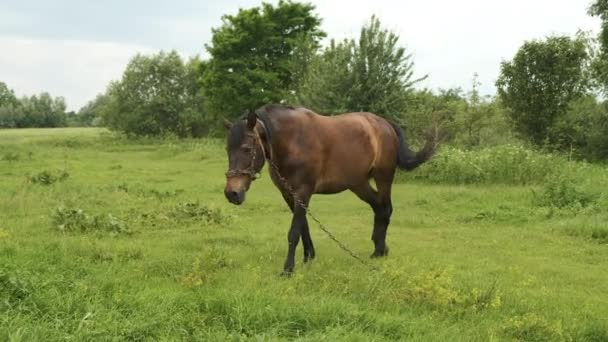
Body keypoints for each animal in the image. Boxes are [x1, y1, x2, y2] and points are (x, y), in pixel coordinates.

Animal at [223, 104, 436, 276]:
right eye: (227, 150)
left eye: (247, 148)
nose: (232, 193)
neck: (293, 141)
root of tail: (384, 124)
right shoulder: (289, 194)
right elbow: (303, 227)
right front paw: (308, 258)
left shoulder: (303, 192)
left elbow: (294, 231)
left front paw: (288, 269)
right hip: (359, 184)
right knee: (378, 207)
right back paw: (379, 249)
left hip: (383, 177)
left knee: (386, 209)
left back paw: (380, 251)